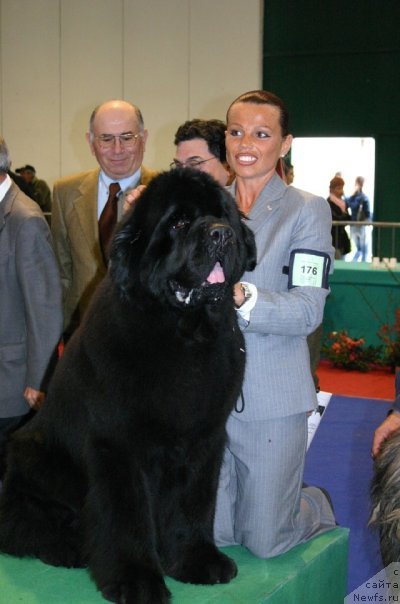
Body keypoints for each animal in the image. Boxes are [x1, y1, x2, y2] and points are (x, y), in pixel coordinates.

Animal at [0, 169, 256, 604]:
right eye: (179, 223)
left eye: (224, 216)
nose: (221, 234)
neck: (186, 334)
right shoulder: (117, 446)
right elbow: (126, 517)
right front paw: (137, 581)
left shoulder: (204, 439)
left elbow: (194, 504)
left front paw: (197, 561)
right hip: (31, 457)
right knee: (25, 524)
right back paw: (69, 548)